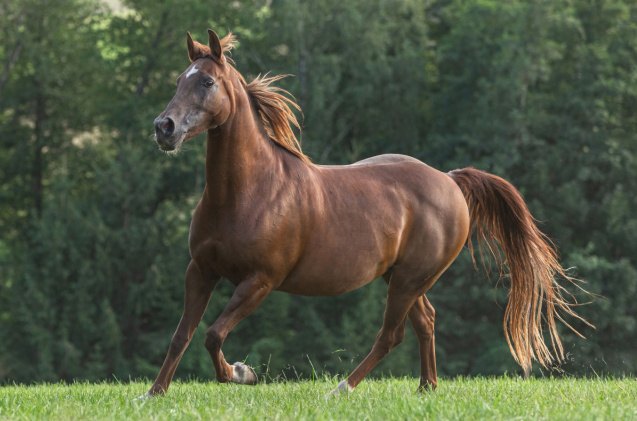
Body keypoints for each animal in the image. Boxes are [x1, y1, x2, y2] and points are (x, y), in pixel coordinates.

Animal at [144, 29, 588, 398]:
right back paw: (426, 388)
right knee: (425, 321)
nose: (164, 127)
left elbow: (213, 334)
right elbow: (182, 335)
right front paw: (153, 393)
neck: (247, 193)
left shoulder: (260, 281)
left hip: (409, 279)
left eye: (206, 81)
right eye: (179, 79)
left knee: (391, 334)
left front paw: (241, 373)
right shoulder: (201, 270)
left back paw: (341, 389)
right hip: (404, 278)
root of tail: (449, 180)